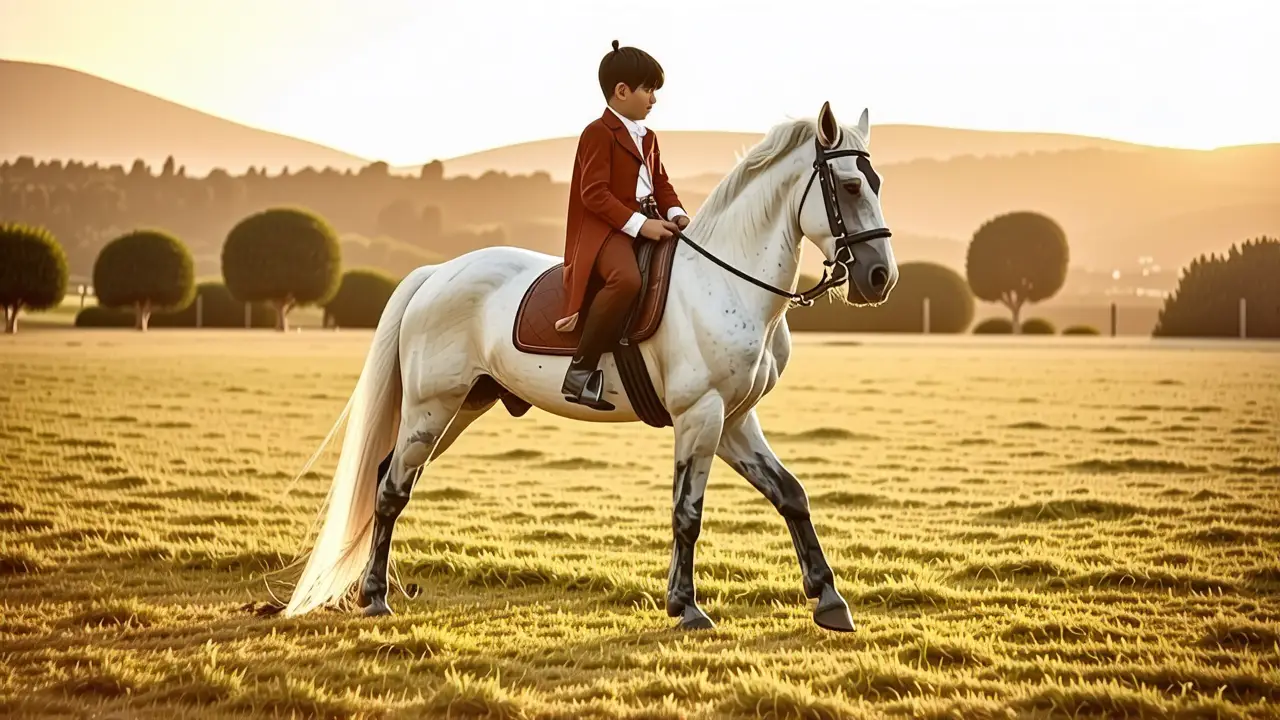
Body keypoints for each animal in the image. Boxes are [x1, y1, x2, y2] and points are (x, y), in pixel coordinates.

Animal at [280, 101, 898, 632]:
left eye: (877, 184)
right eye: (848, 186)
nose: (879, 278)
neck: (725, 279)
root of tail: (437, 273)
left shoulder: (733, 419)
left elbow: (790, 494)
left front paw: (829, 599)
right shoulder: (700, 415)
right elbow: (688, 513)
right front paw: (687, 607)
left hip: (461, 406)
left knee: (390, 475)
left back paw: (376, 588)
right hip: (432, 406)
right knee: (391, 490)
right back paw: (375, 598)